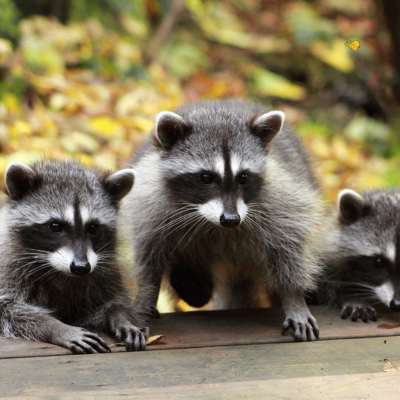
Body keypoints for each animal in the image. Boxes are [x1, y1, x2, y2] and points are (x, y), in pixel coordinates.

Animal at [0, 159, 148, 354]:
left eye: (93, 228)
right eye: (55, 226)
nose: (81, 267)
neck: (58, 270)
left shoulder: (105, 272)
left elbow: (113, 301)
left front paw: (122, 318)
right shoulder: (8, 267)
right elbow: (9, 309)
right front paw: (56, 327)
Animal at [124, 99, 328, 340]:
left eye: (244, 177)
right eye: (205, 177)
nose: (231, 219)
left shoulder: (281, 199)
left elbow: (289, 245)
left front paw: (293, 296)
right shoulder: (149, 201)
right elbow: (148, 253)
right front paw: (147, 293)